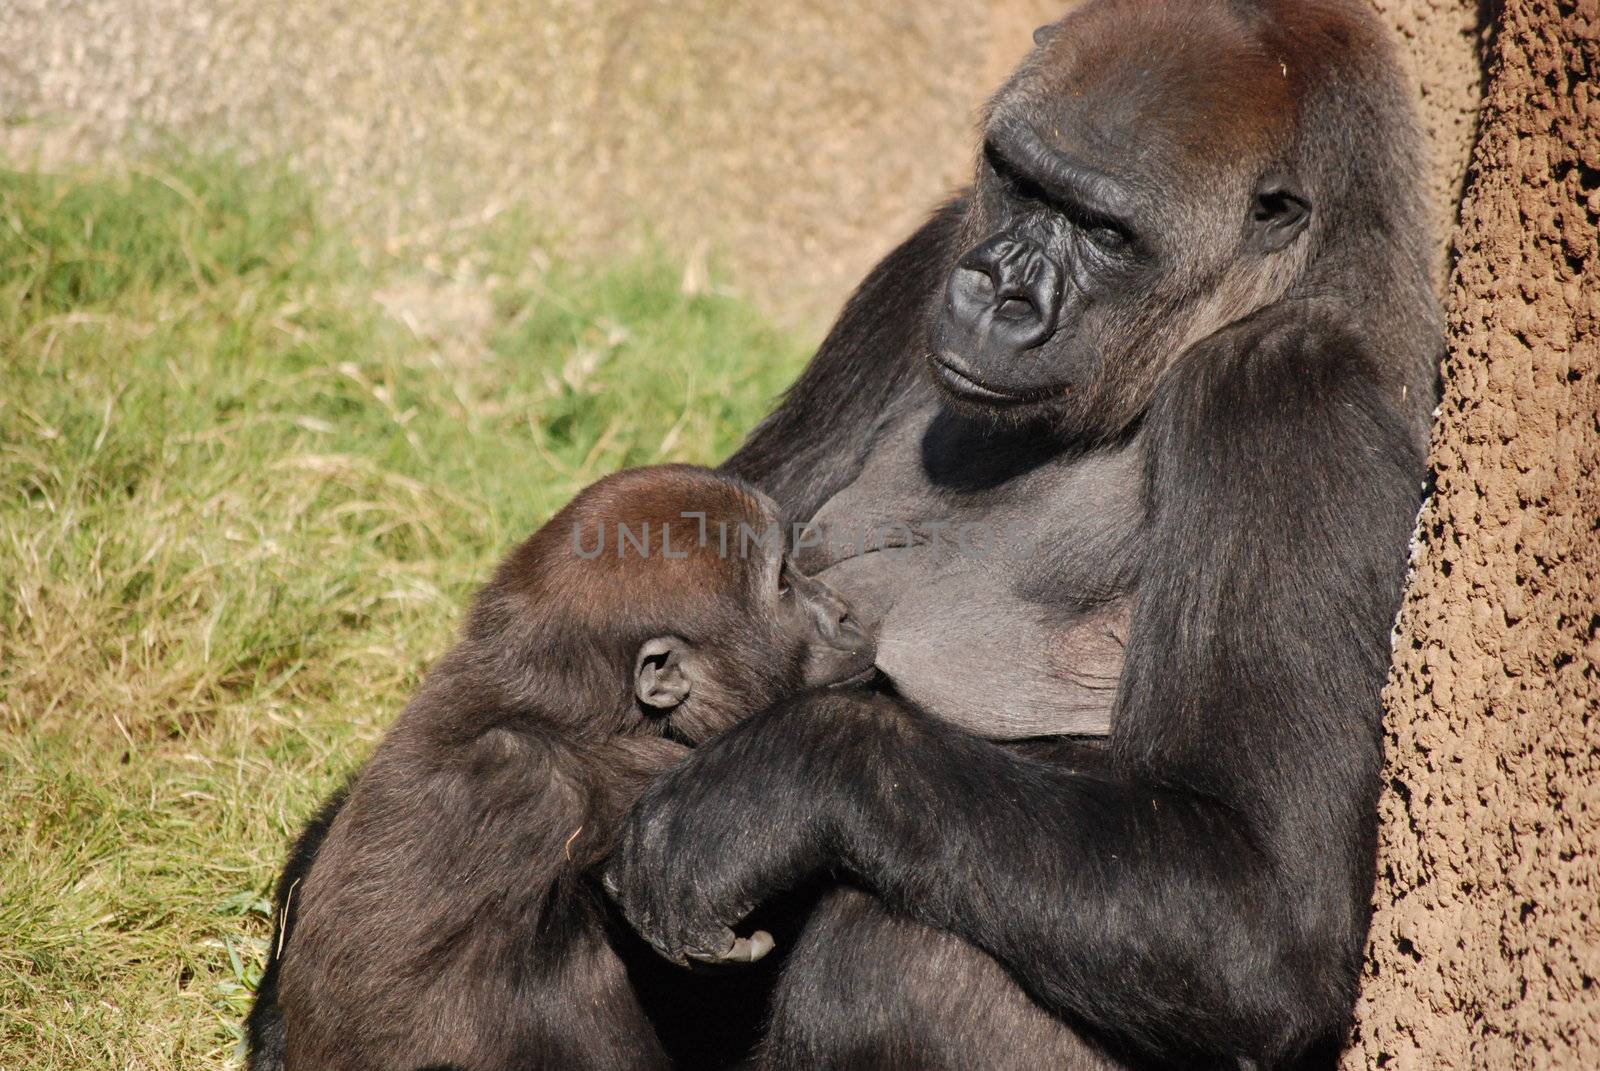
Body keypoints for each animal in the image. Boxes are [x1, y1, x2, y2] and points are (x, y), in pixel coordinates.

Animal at [598, 0, 1440, 1062]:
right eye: (1020, 180)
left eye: (1107, 232)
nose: (997, 292)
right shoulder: (926, 252)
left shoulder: (1289, 392)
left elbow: (1266, 909)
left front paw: (763, 788)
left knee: (898, 952)